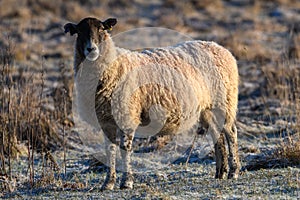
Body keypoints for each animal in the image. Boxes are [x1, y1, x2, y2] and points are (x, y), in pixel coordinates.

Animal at [64, 16, 240, 190]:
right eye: (79, 32)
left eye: (102, 29)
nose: (91, 49)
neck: (113, 66)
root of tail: (220, 48)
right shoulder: (106, 121)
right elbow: (110, 150)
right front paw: (108, 183)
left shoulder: (127, 116)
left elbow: (125, 149)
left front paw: (126, 182)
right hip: (208, 109)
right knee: (217, 135)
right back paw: (220, 173)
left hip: (225, 102)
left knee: (231, 133)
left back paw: (234, 172)